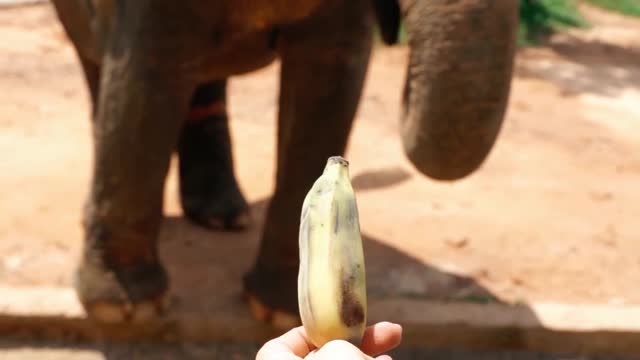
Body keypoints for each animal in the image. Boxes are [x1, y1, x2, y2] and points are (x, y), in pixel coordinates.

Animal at [50, 0, 520, 324]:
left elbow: (329, 75)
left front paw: (278, 314)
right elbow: (145, 74)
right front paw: (126, 309)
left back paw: (225, 217)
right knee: (102, 67)